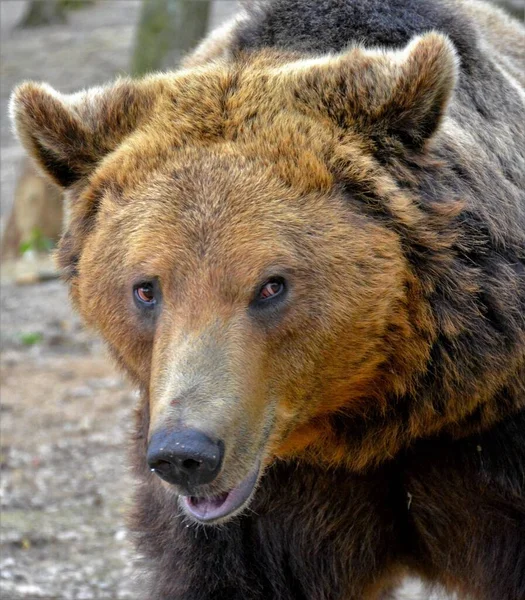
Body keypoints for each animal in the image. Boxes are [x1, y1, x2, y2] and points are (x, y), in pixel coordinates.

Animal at [9, 1, 524, 600]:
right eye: (146, 288)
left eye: (272, 284)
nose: (186, 454)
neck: (372, 422)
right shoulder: (267, 508)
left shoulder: (487, 441)